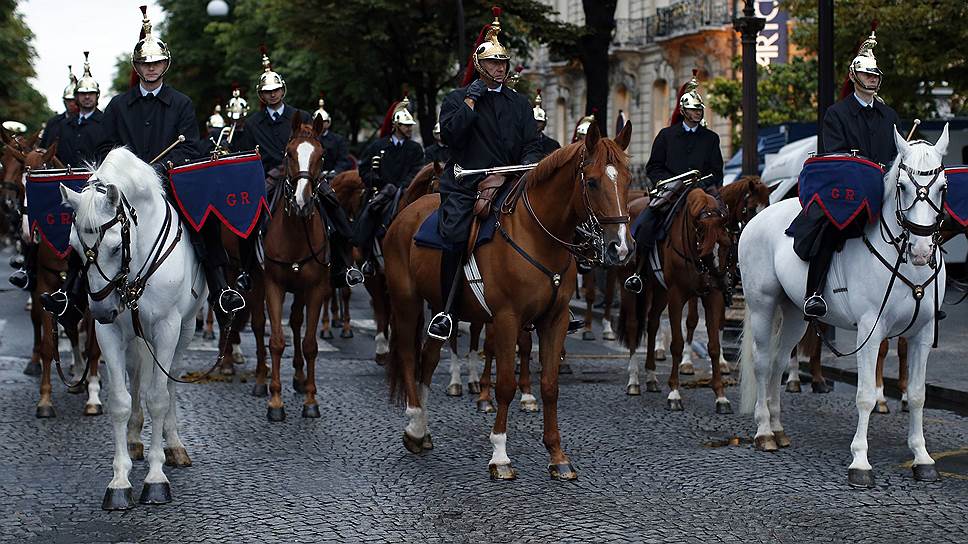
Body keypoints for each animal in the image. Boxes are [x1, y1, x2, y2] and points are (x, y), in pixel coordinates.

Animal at [61, 147, 205, 508]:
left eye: (114, 247)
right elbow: (120, 401)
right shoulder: (109, 334)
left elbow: (158, 397)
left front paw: (155, 478)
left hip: (184, 331)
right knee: (137, 375)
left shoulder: (167, 328)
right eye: (74, 248)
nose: (101, 309)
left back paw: (174, 444)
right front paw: (119, 480)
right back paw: (136, 439)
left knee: (169, 383)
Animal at [386, 123, 636, 480]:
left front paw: (557, 456)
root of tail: (407, 212)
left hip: (441, 306)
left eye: (628, 180)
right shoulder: (507, 318)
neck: (538, 237)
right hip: (406, 302)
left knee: (429, 357)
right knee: (408, 356)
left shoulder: (554, 320)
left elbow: (550, 385)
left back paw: (422, 428)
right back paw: (413, 422)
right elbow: (505, 384)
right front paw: (500, 455)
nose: (621, 248)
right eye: (592, 181)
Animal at [616, 185, 728, 410]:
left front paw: (721, 396)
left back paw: (651, 377)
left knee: (652, 322)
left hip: (660, 291)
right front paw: (675, 393)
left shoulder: (713, 297)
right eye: (706, 248)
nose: (721, 280)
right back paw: (634, 381)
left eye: (725, 245)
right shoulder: (676, 296)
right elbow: (677, 344)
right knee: (634, 325)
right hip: (631, 286)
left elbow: (714, 346)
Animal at [740, 125, 944, 486]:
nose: (921, 250)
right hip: (763, 304)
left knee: (778, 362)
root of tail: (759, 216)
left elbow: (918, 394)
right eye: (903, 187)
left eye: (944, 186)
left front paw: (922, 458)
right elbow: (865, 396)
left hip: (796, 314)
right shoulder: (870, 332)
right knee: (763, 363)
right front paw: (860, 462)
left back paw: (778, 429)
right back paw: (764, 431)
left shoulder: (922, 334)